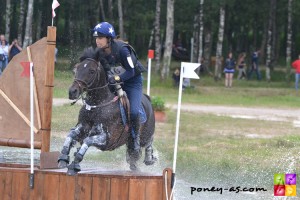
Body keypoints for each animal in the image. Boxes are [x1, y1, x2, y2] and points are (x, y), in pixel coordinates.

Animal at [57, 47, 158, 175]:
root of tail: (148, 99)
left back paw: (150, 158)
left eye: (92, 71)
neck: (97, 104)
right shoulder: (82, 127)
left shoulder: (106, 138)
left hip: (145, 134)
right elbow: (71, 135)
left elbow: (87, 140)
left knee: (148, 142)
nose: (72, 92)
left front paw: (75, 164)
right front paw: (63, 158)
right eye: (76, 69)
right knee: (133, 158)